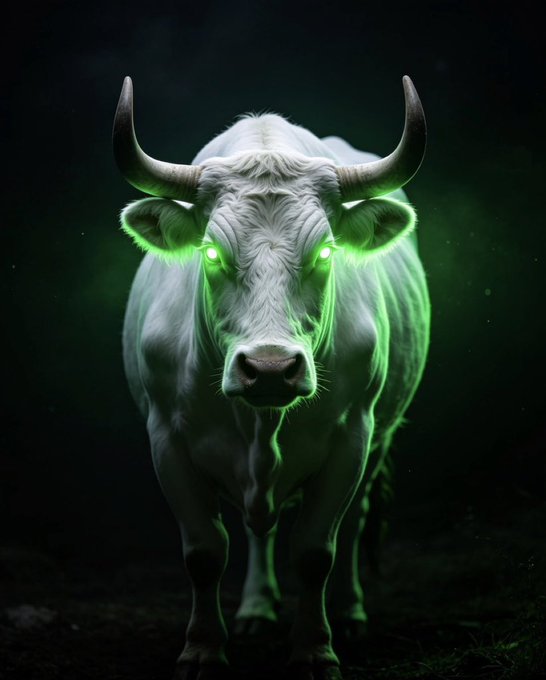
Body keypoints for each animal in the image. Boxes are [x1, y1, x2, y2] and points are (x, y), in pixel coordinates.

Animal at [113, 75, 429, 680]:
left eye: (325, 252)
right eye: (212, 253)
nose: (269, 369)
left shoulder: (353, 436)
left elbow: (316, 551)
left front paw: (315, 650)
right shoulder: (165, 439)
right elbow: (204, 553)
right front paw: (202, 650)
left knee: (353, 524)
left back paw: (350, 613)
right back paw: (257, 607)